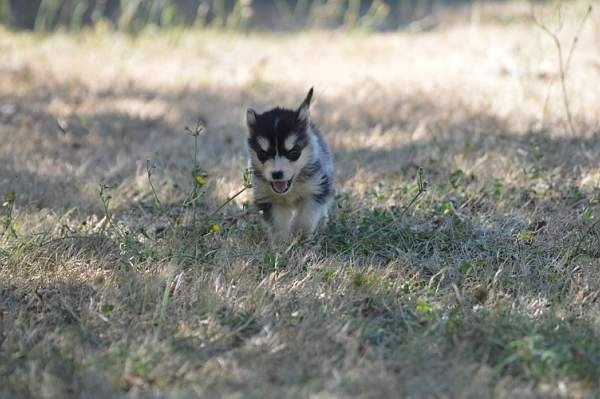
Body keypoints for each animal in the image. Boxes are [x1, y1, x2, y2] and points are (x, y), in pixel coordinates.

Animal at [246, 88, 336, 242]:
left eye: (294, 152)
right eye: (262, 153)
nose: (277, 174)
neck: (292, 187)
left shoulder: (315, 188)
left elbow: (306, 217)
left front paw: (300, 236)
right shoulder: (268, 197)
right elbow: (278, 224)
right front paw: (280, 242)